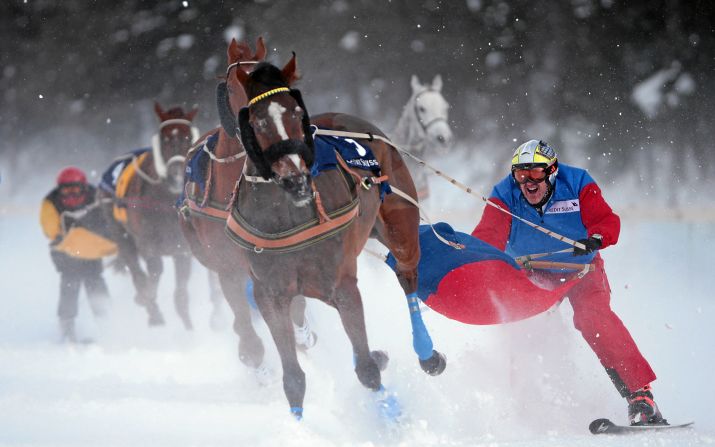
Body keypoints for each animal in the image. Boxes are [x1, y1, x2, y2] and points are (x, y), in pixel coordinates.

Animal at [98, 104, 199, 328]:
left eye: (188, 137)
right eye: (165, 139)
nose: (177, 176)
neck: (165, 201)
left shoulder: (182, 249)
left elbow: (181, 293)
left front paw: (189, 328)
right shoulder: (148, 244)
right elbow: (153, 273)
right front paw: (150, 307)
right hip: (121, 235)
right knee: (135, 269)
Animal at [178, 36, 314, 382]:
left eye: (295, 108)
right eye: (234, 87)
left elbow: (295, 307)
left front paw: (303, 333)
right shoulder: (227, 267)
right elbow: (244, 321)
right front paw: (256, 359)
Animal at [232, 57, 448, 420]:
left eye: (296, 114)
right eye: (259, 121)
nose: (295, 178)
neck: (290, 218)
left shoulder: (343, 285)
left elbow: (366, 371)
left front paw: (394, 418)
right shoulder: (270, 294)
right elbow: (293, 378)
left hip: (399, 223)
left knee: (406, 275)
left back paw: (426, 353)